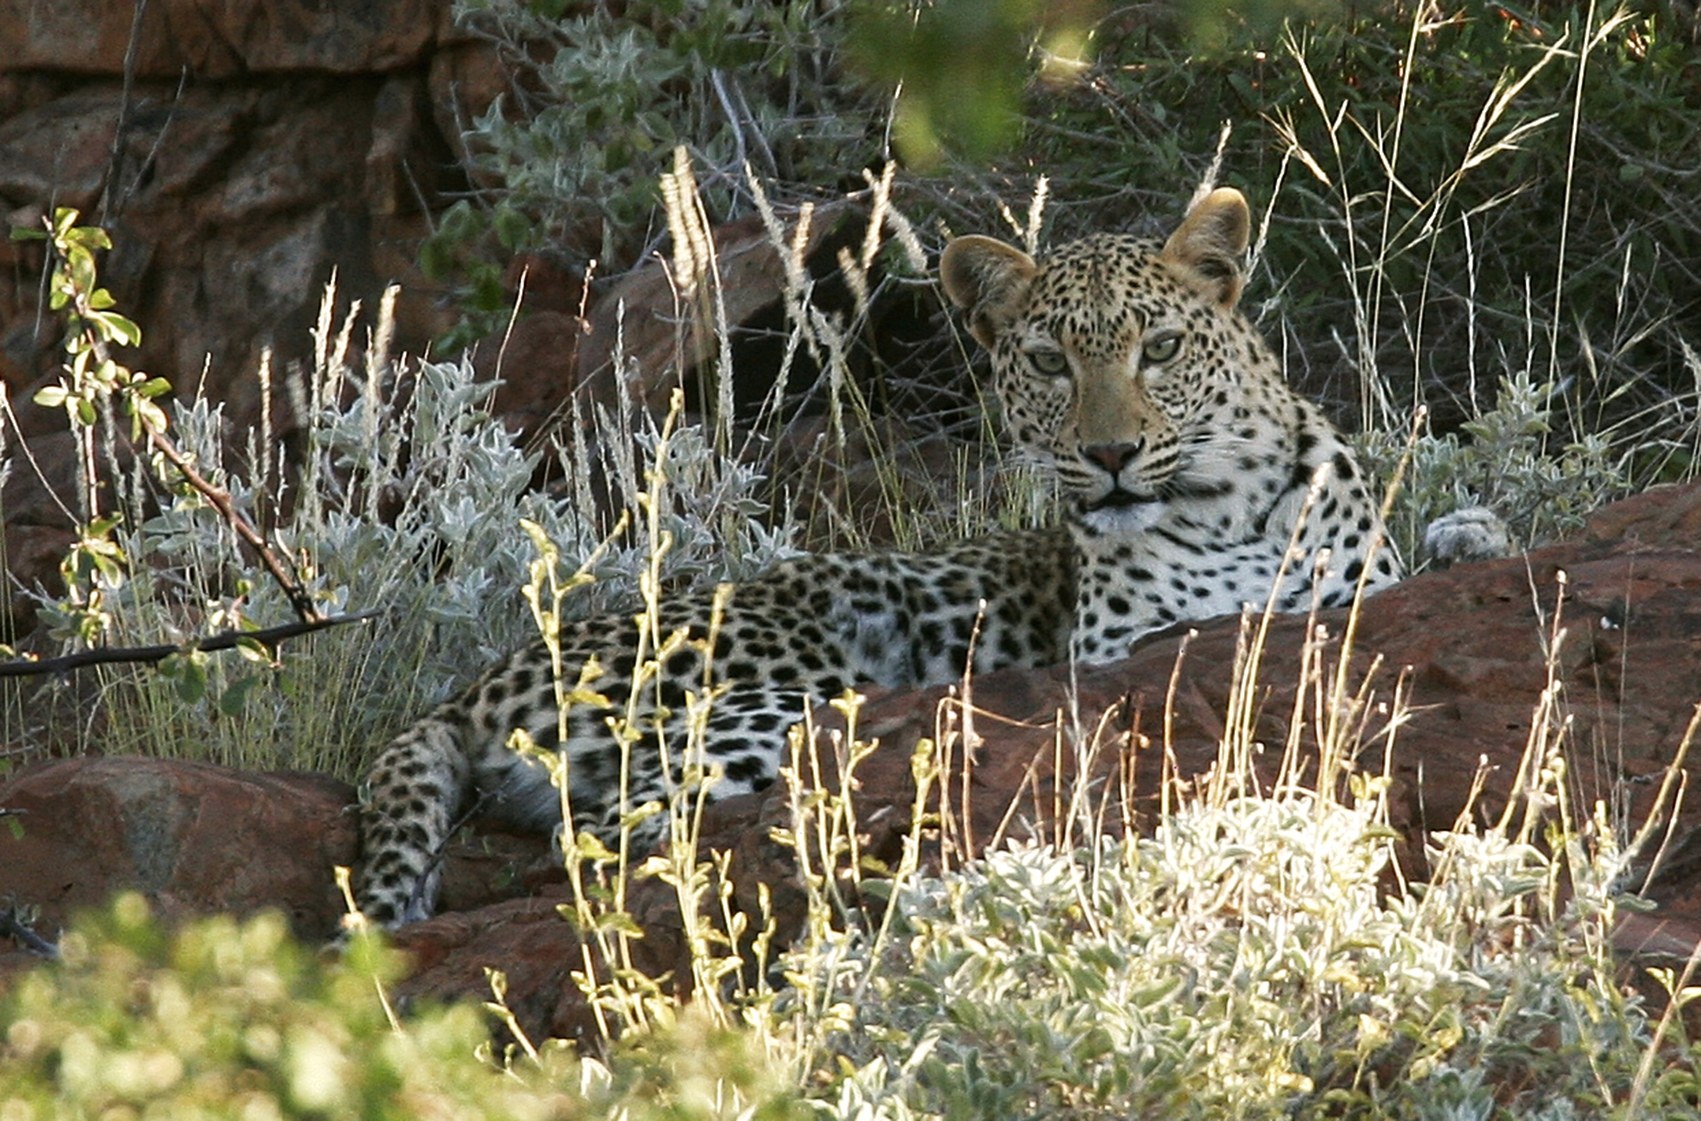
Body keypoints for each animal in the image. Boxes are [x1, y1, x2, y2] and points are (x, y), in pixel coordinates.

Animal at [350, 186, 1402, 930]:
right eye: (1048, 362)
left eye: (1163, 347)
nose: (1109, 455)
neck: (1228, 512)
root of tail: (477, 682)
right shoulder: (1115, 652)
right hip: (771, 700)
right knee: (613, 835)